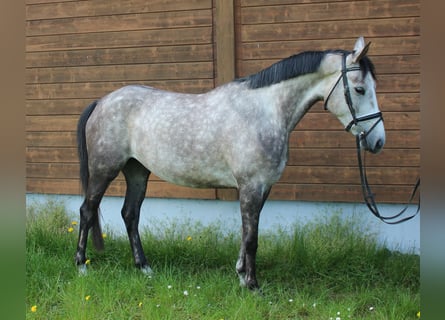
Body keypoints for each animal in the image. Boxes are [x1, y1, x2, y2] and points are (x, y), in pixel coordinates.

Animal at [75, 36, 382, 288]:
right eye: (359, 89)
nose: (378, 141)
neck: (263, 112)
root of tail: (101, 101)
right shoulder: (251, 186)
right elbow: (252, 238)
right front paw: (253, 284)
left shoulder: (261, 188)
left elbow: (246, 232)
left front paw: (241, 274)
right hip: (104, 170)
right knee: (87, 211)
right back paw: (81, 266)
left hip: (137, 171)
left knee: (130, 214)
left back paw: (144, 267)